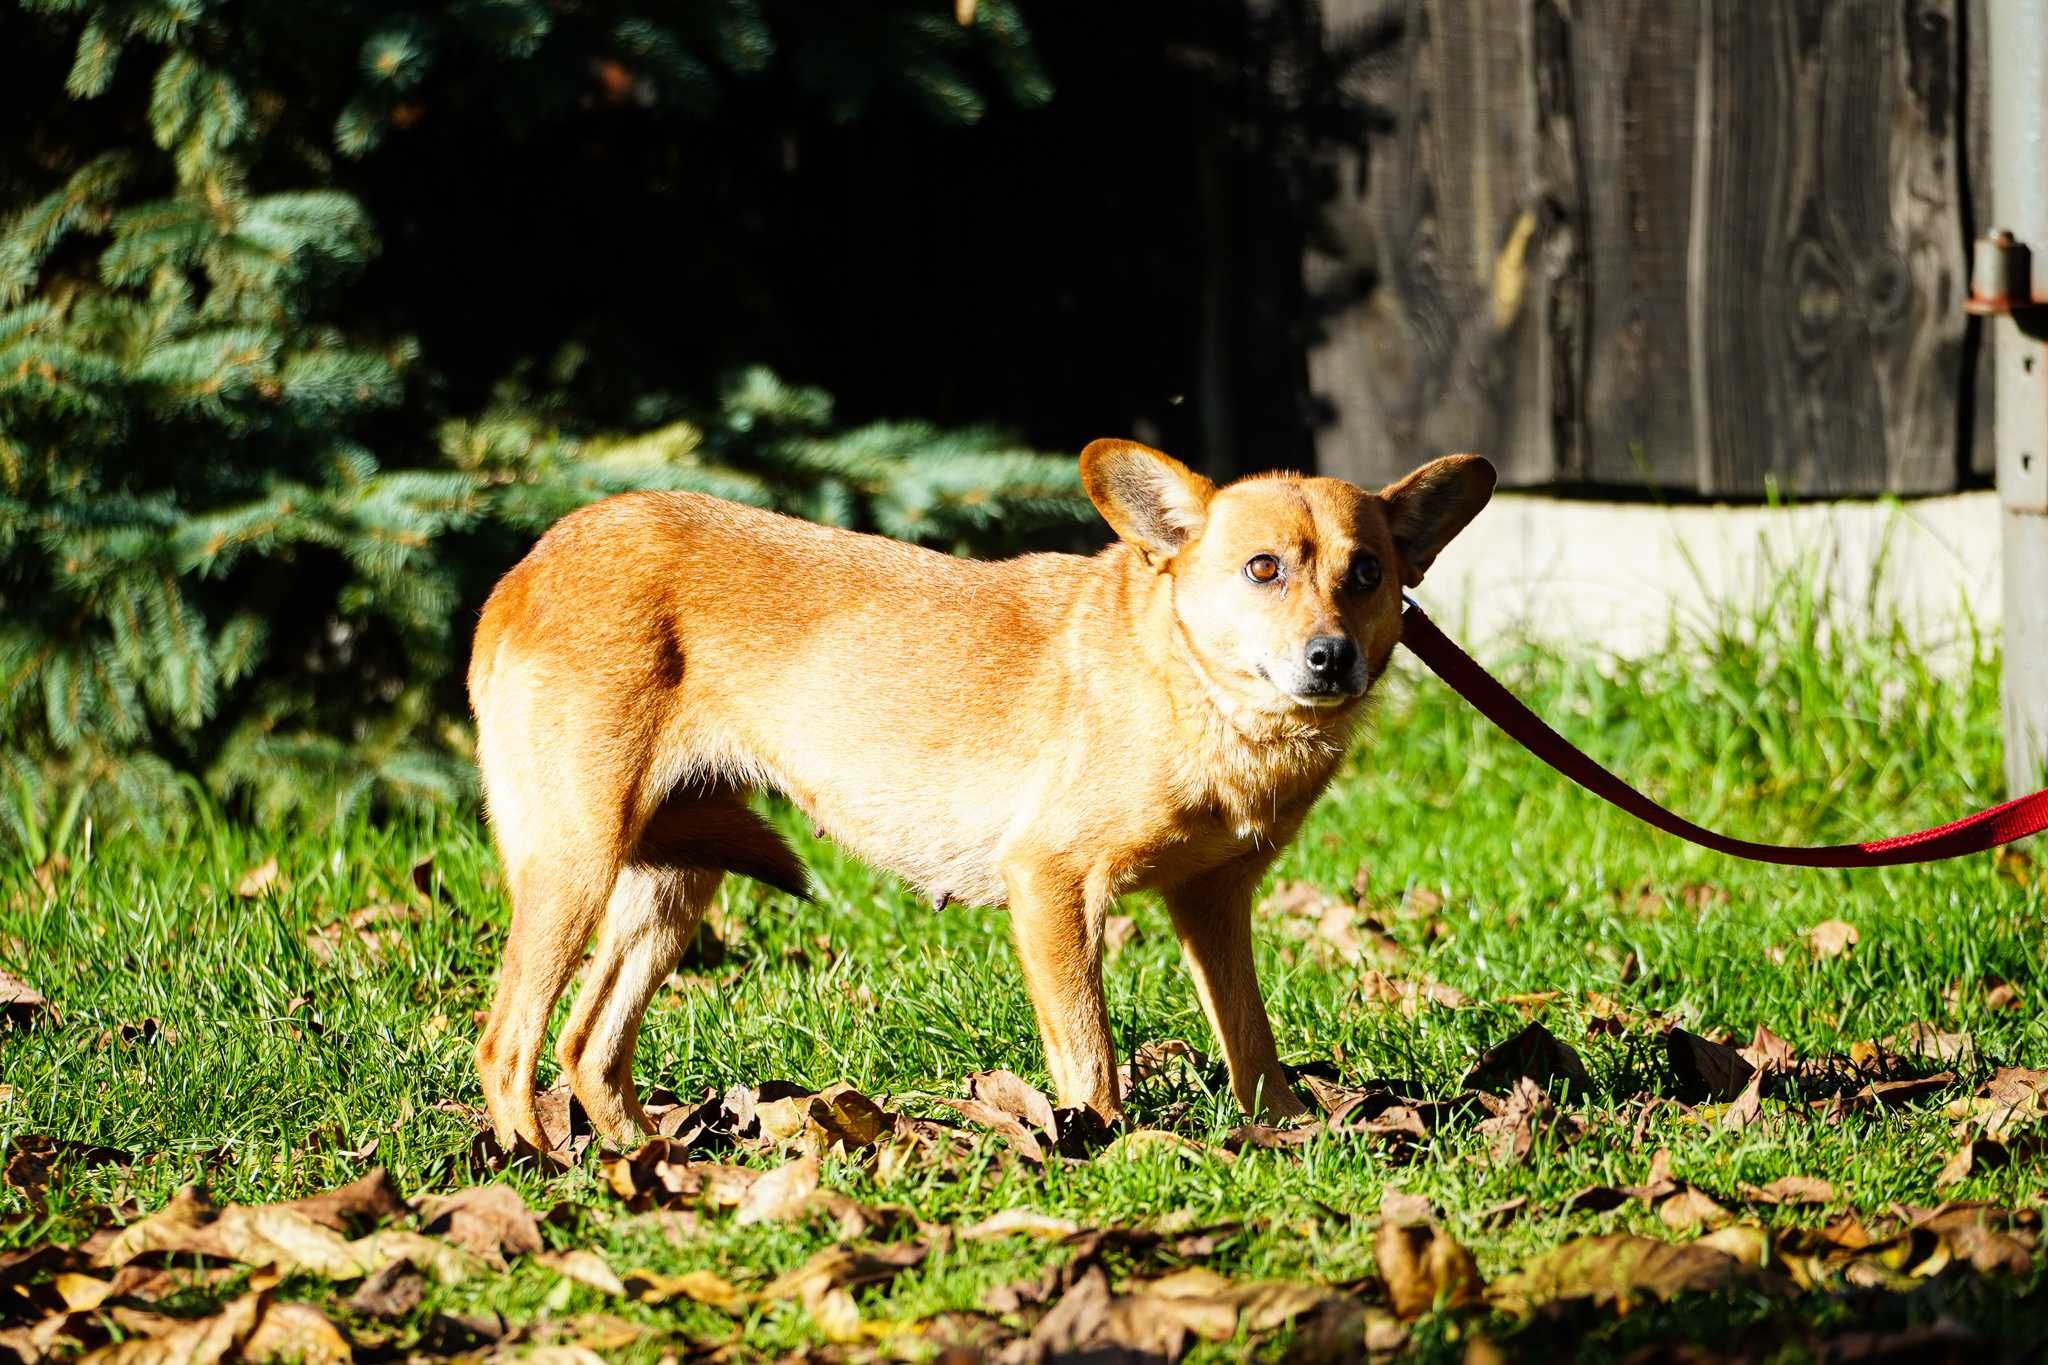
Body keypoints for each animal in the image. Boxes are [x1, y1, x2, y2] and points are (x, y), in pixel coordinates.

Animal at [468, 444, 1490, 1146]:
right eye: (1264, 568)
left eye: (1367, 573)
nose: (1331, 658)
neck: (1190, 688)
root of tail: (526, 567)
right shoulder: (1052, 885)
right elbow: (1091, 1059)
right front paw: (1099, 1153)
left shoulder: (1212, 903)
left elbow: (1254, 1045)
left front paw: (1286, 1138)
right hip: (575, 865)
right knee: (509, 1045)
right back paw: (544, 1167)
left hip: (671, 886)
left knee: (587, 1046)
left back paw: (644, 1164)